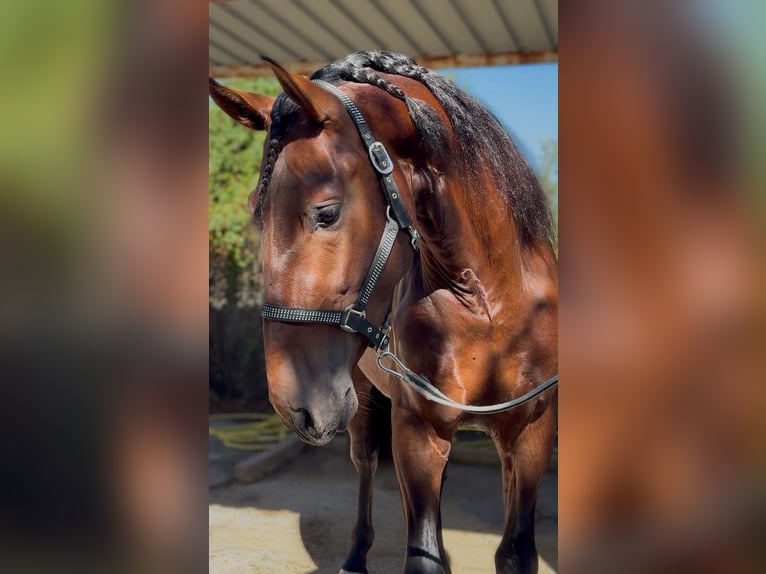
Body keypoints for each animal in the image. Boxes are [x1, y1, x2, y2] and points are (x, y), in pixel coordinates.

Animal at [209, 51, 558, 574]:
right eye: (256, 210)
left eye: (327, 212)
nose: (292, 406)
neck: (488, 306)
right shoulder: (415, 430)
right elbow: (424, 556)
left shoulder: (530, 432)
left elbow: (515, 552)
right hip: (361, 400)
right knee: (367, 464)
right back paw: (355, 555)